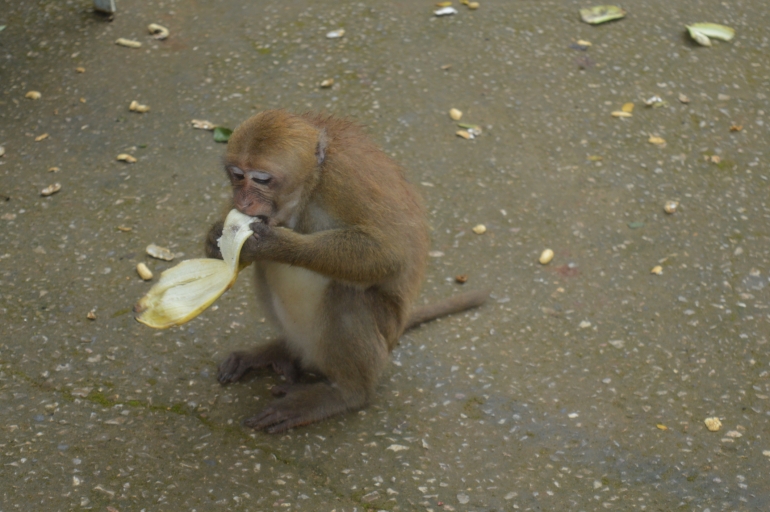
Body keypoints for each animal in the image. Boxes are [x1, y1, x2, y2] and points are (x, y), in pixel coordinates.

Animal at [204, 109, 486, 432]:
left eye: (262, 179)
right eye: (237, 175)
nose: (243, 200)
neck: (310, 187)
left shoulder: (345, 180)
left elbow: (389, 254)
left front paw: (275, 244)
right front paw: (214, 238)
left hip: (380, 335)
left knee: (347, 296)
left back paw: (345, 394)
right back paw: (283, 351)